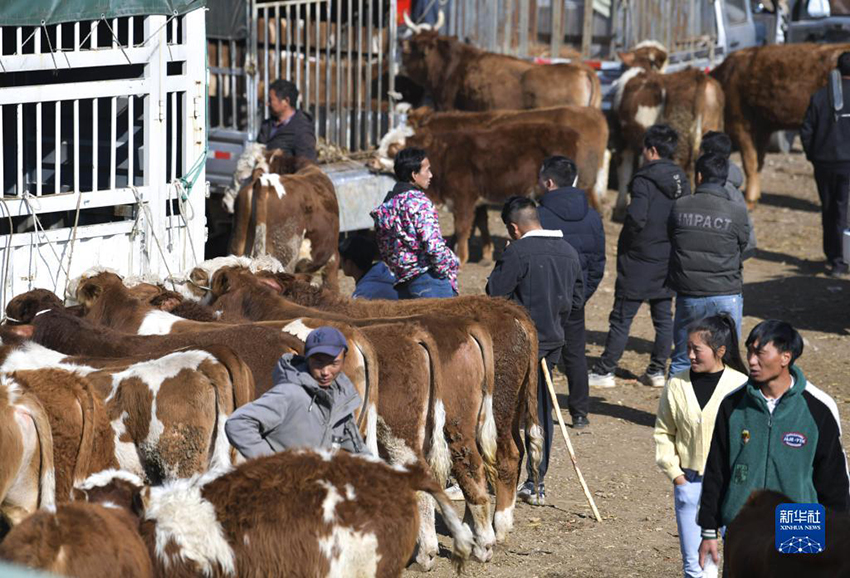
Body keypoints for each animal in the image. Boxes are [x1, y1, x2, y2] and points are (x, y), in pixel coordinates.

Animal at [704, 41, 848, 202]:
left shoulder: (740, 123)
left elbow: (750, 163)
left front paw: (749, 199)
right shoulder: (762, 128)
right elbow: (758, 162)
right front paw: (754, 197)